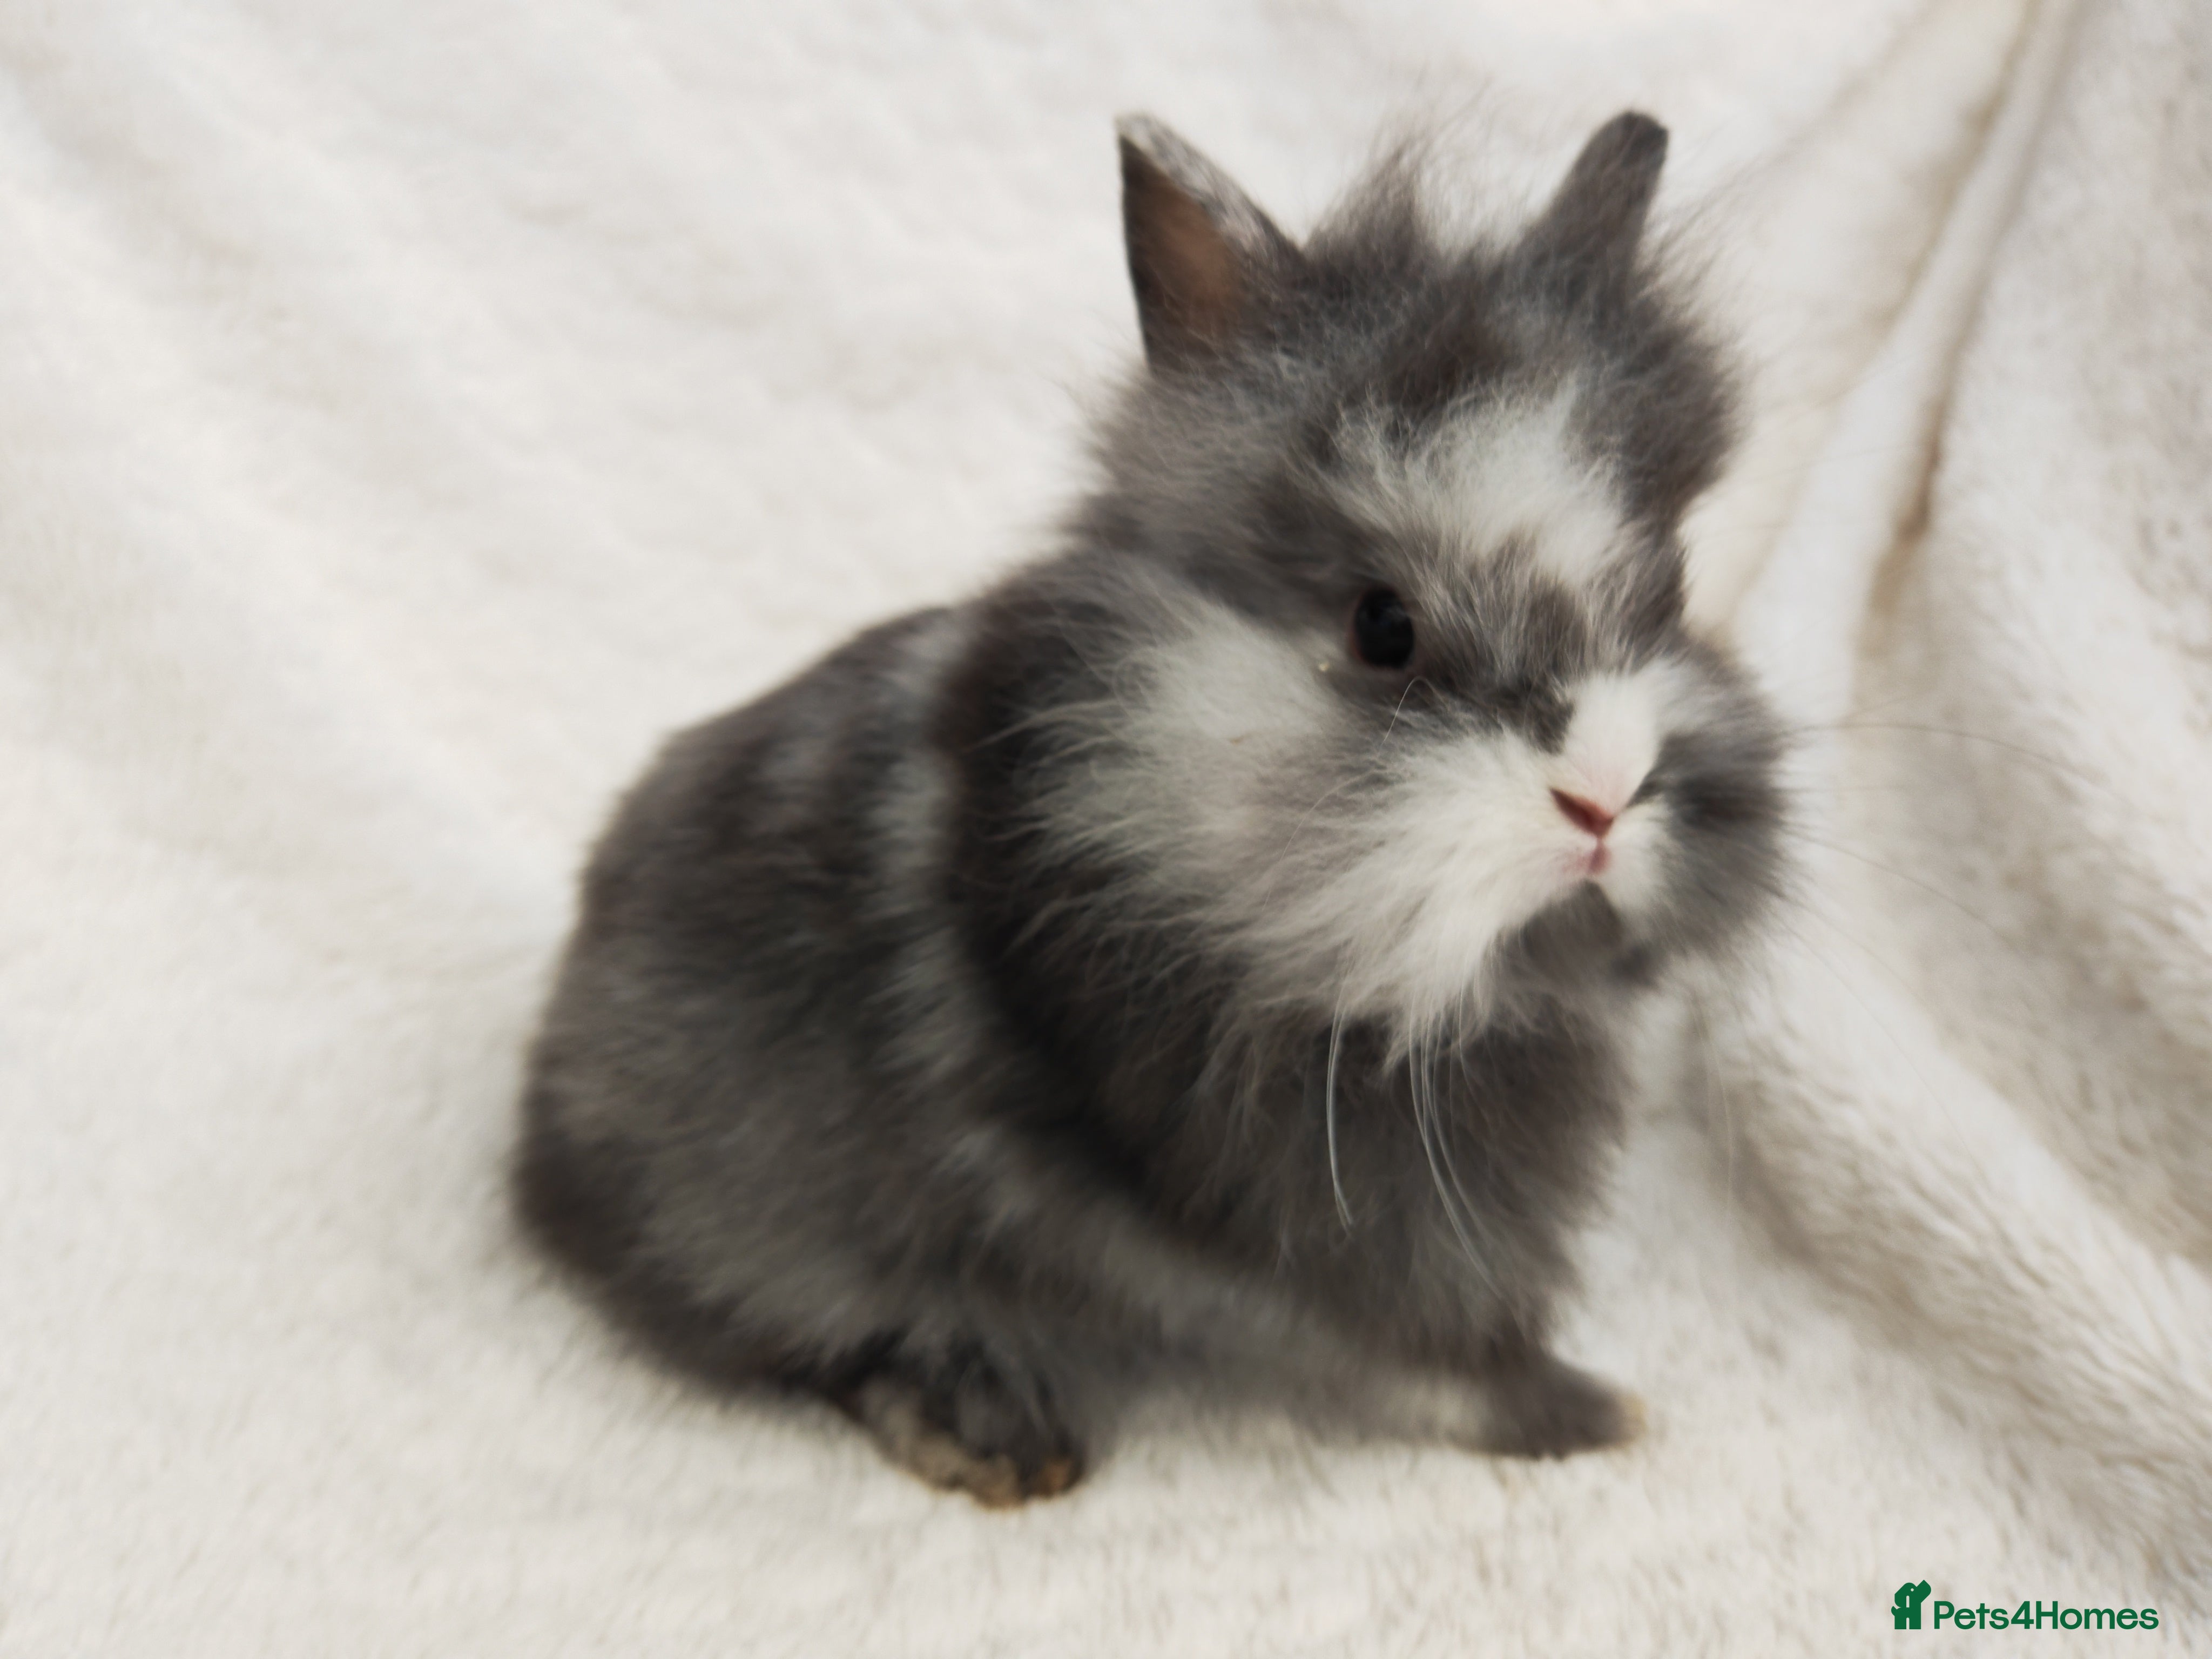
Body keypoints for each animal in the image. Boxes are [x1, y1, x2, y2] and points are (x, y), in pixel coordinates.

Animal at [514, 109, 1786, 1507]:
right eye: (1381, 627)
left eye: (1667, 592)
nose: (1604, 800)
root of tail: (542, 1114)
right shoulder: (1308, 1202)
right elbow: (1439, 1345)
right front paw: (1589, 1414)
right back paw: (991, 1430)